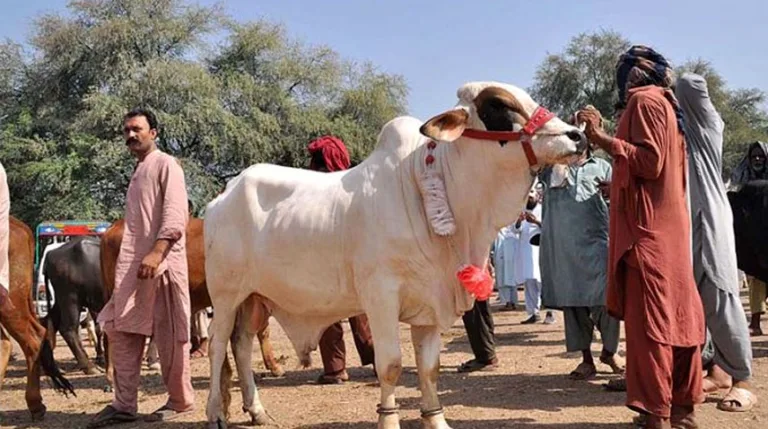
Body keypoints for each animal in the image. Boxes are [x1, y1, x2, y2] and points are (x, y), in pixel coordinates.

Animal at [42, 236, 105, 375]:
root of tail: (50, 254)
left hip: (62, 299)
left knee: (49, 322)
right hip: (71, 299)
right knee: (68, 329)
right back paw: (89, 366)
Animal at [202, 81, 587, 429]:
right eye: (499, 105)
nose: (577, 137)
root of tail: (223, 195)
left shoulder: (431, 303)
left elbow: (429, 369)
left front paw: (436, 420)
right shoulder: (381, 297)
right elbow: (390, 366)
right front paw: (388, 419)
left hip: (256, 299)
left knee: (242, 344)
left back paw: (257, 411)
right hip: (225, 295)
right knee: (218, 345)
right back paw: (216, 413)